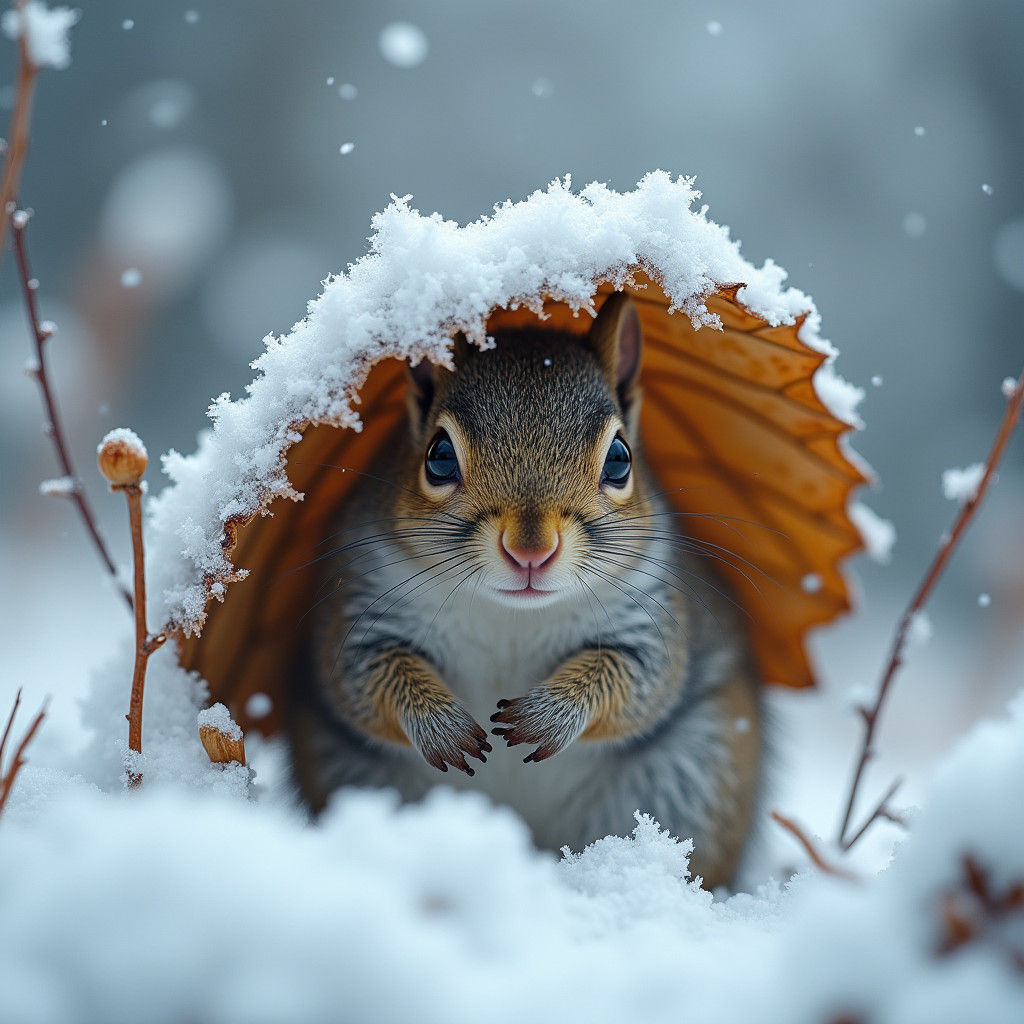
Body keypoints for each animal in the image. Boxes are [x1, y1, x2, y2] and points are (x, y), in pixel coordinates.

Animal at [288, 293, 763, 888]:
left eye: (620, 459)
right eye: (438, 456)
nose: (531, 551)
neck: (510, 617)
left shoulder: (649, 617)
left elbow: (637, 680)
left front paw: (545, 716)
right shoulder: (365, 607)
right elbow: (366, 676)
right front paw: (443, 729)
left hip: (694, 774)